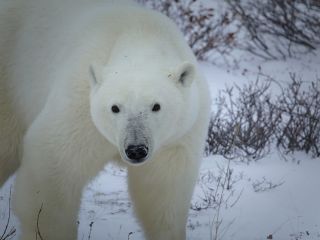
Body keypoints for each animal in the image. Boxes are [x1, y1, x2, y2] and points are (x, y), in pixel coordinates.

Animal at [0, 0, 211, 239]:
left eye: (156, 106)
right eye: (115, 108)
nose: (136, 150)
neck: (140, 34)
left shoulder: (178, 135)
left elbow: (163, 192)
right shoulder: (81, 106)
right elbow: (53, 171)